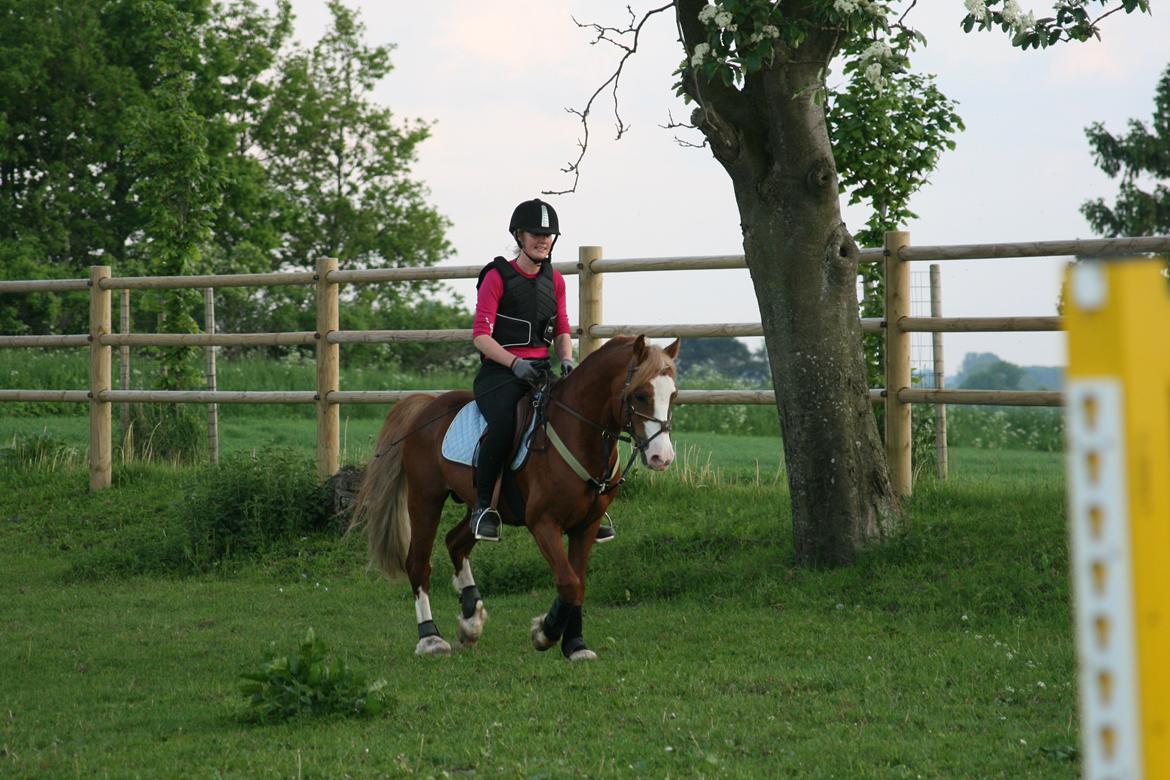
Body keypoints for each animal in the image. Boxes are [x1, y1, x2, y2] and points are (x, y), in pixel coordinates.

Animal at [348, 339, 678, 664]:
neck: (579, 433)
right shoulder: (543, 523)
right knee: (418, 561)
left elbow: (578, 584)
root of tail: (427, 405)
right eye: (640, 395)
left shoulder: (586, 526)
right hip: (425, 499)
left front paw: (575, 644)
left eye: (673, 395)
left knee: (456, 541)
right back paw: (430, 638)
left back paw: (470, 618)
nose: (661, 458)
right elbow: (568, 582)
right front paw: (545, 632)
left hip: (481, 507)